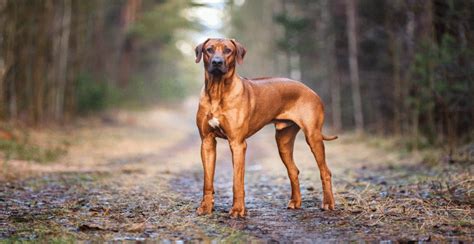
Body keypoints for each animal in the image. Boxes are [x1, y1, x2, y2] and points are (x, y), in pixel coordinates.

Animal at [194, 38, 336, 217]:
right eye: (209, 50)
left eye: (227, 50)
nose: (217, 62)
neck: (217, 91)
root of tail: (311, 90)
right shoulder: (207, 142)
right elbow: (207, 181)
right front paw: (206, 207)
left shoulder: (237, 144)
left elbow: (237, 182)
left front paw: (238, 210)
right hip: (283, 141)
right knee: (293, 170)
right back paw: (295, 202)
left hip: (313, 136)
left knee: (325, 171)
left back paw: (328, 203)